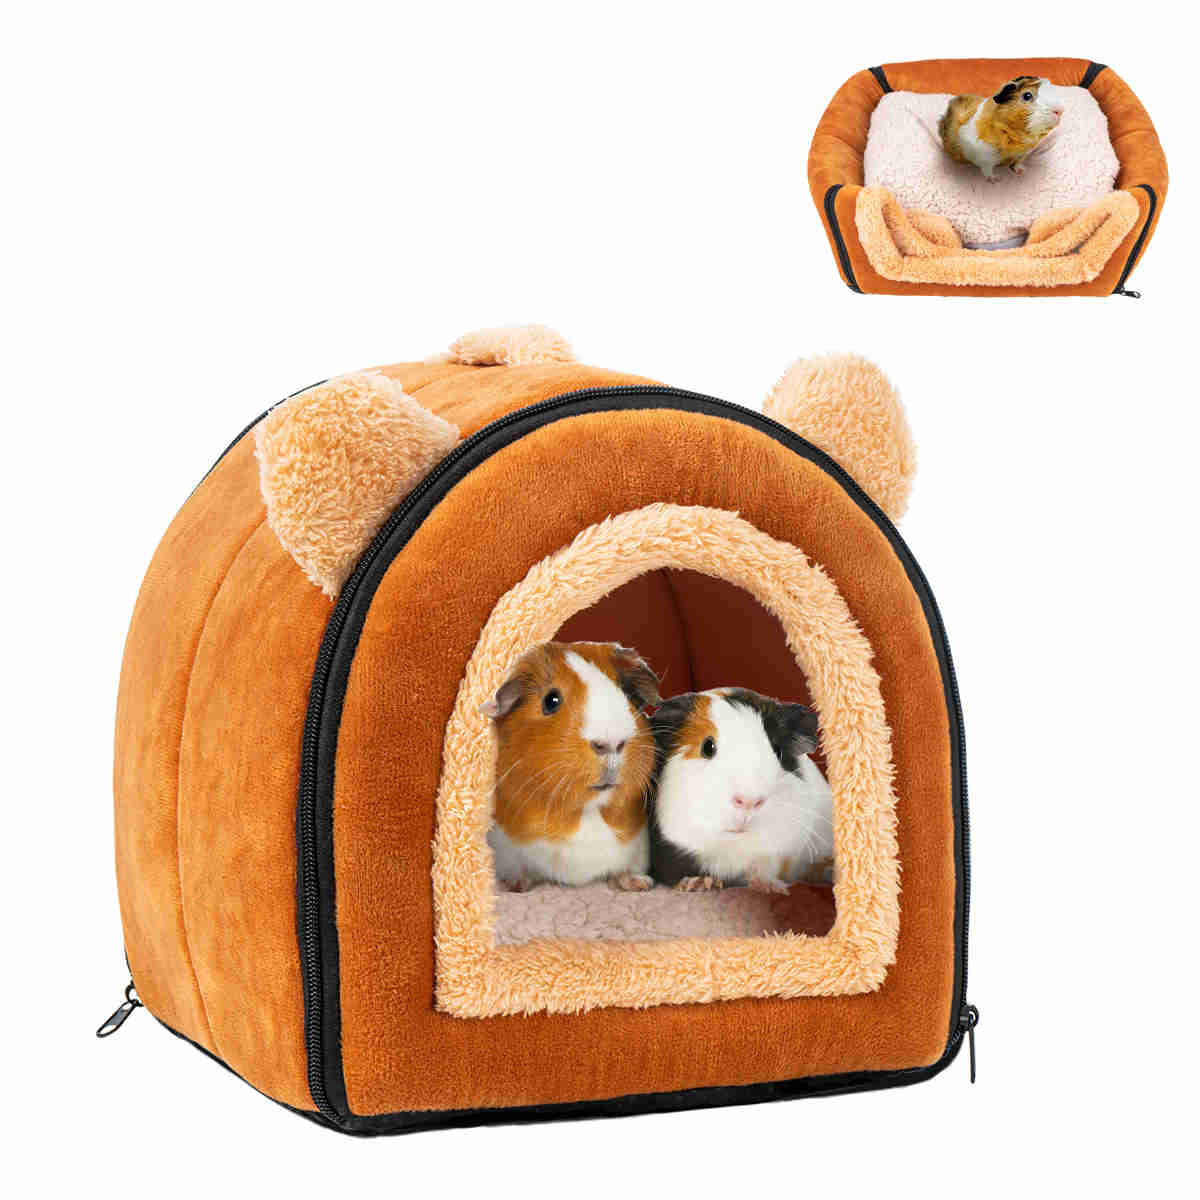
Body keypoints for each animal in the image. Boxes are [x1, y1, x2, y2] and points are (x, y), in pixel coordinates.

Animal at [482, 641, 661, 892]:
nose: (611, 743)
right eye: (551, 701)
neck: (584, 813)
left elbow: (624, 870)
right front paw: (516, 885)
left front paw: (641, 883)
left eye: (628, 695)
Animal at [649, 688, 833, 894]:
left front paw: (771, 888)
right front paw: (700, 884)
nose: (749, 801)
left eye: (778, 751)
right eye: (707, 747)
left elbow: (763, 867)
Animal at [939, 76, 1067, 180]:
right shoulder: (985, 158)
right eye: (1027, 95)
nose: (1060, 110)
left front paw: (1022, 171)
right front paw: (995, 179)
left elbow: (1017, 163)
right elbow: (987, 169)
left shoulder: (1022, 154)